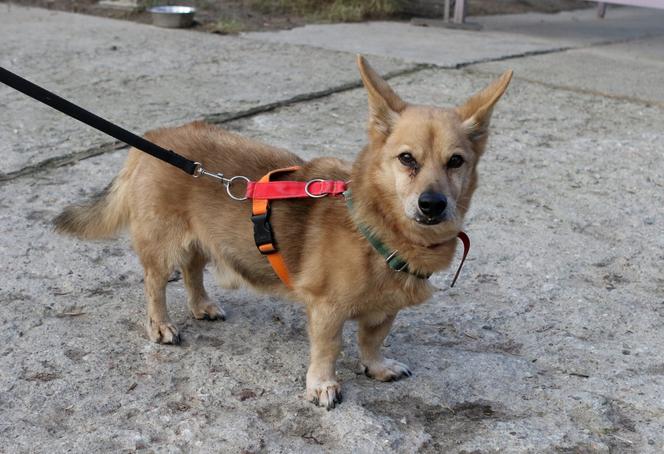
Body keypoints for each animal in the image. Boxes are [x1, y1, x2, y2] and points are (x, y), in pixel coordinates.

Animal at [55, 55, 512, 408]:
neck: (378, 227)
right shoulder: (327, 310)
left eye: (456, 161)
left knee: (193, 270)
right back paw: (161, 325)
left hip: (203, 238)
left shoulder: (385, 311)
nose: (432, 205)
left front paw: (377, 367)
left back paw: (202, 305)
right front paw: (323, 385)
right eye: (406, 159)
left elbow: (372, 342)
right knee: (155, 284)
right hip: (161, 246)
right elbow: (329, 349)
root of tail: (155, 140)